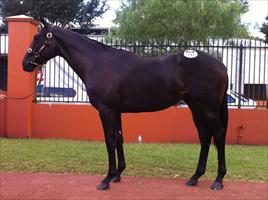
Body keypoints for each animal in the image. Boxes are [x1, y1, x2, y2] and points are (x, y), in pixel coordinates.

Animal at [22, 19, 228, 191]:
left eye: (37, 38)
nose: (25, 63)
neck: (98, 62)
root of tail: (221, 65)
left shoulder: (106, 110)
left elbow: (109, 140)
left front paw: (106, 179)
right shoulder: (116, 111)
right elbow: (119, 138)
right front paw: (118, 174)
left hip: (207, 109)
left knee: (217, 136)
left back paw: (218, 180)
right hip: (197, 108)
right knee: (204, 137)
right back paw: (195, 177)